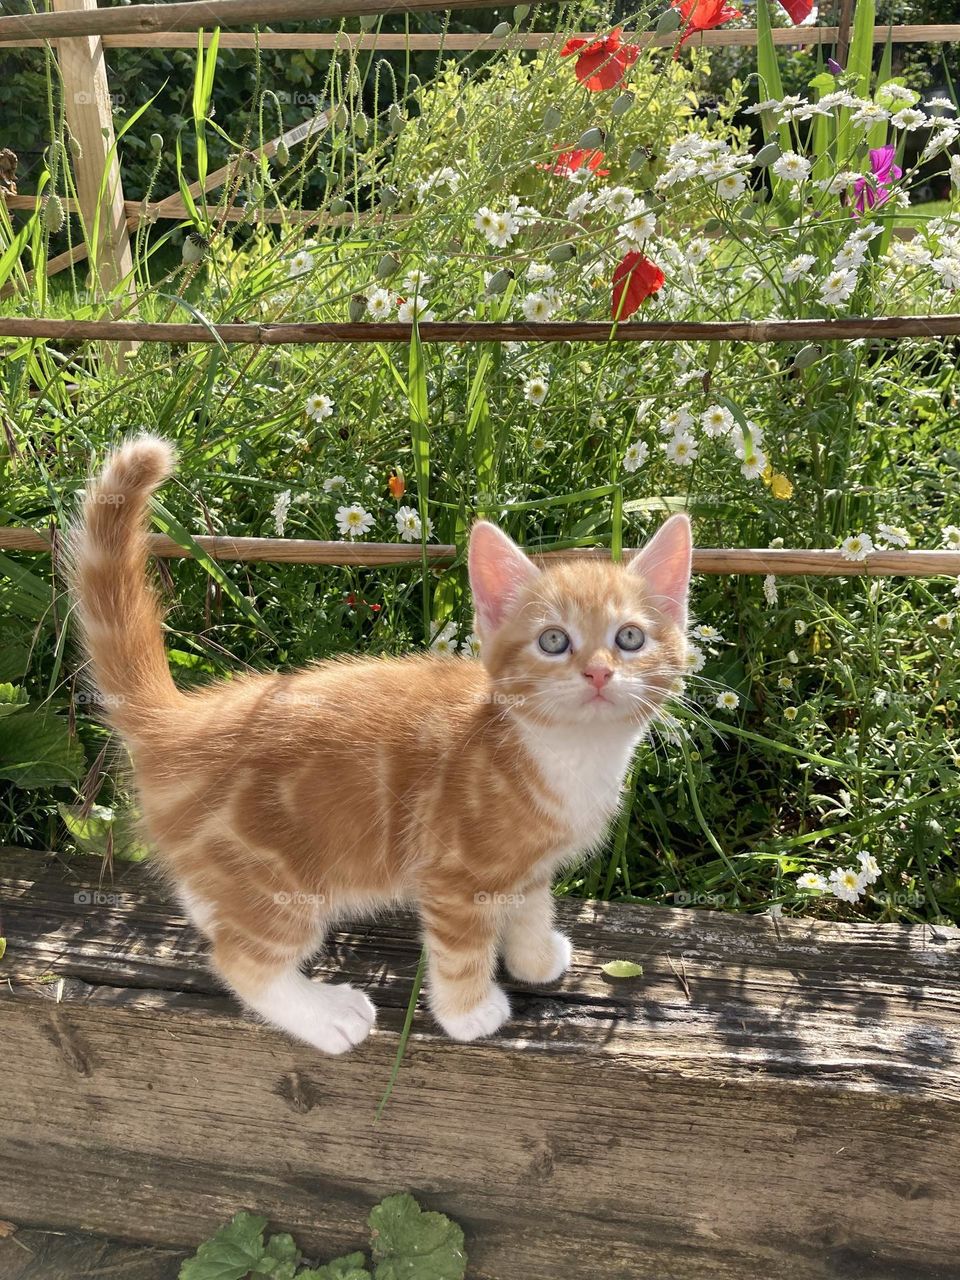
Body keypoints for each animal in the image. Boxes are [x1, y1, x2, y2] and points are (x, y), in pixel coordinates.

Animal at [71, 435, 696, 1054]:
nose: (598, 673)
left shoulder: (528, 863)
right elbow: (461, 948)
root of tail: (176, 719)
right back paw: (327, 1015)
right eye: (553, 641)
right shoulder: (453, 874)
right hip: (279, 880)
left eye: (630, 638)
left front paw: (536, 956)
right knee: (242, 962)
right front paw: (470, 1012)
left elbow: (529, 906)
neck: (567, 753)